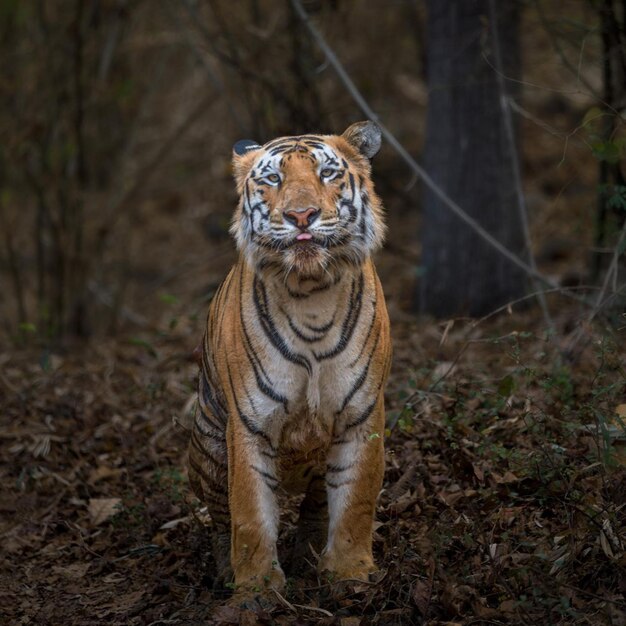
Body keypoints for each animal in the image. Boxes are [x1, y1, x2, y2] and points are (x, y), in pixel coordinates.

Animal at [186, 120, 390, 596]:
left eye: (327, 174)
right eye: (274, 179)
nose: (301, 216)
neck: (311, 293)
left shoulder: (361, 416)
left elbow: (355, 501)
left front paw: (349, 574)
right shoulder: (250, 423)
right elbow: (249, 515)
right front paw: (257, 589)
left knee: (317, 506)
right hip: (207, 446)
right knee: (220, 518)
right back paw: (225, 572)